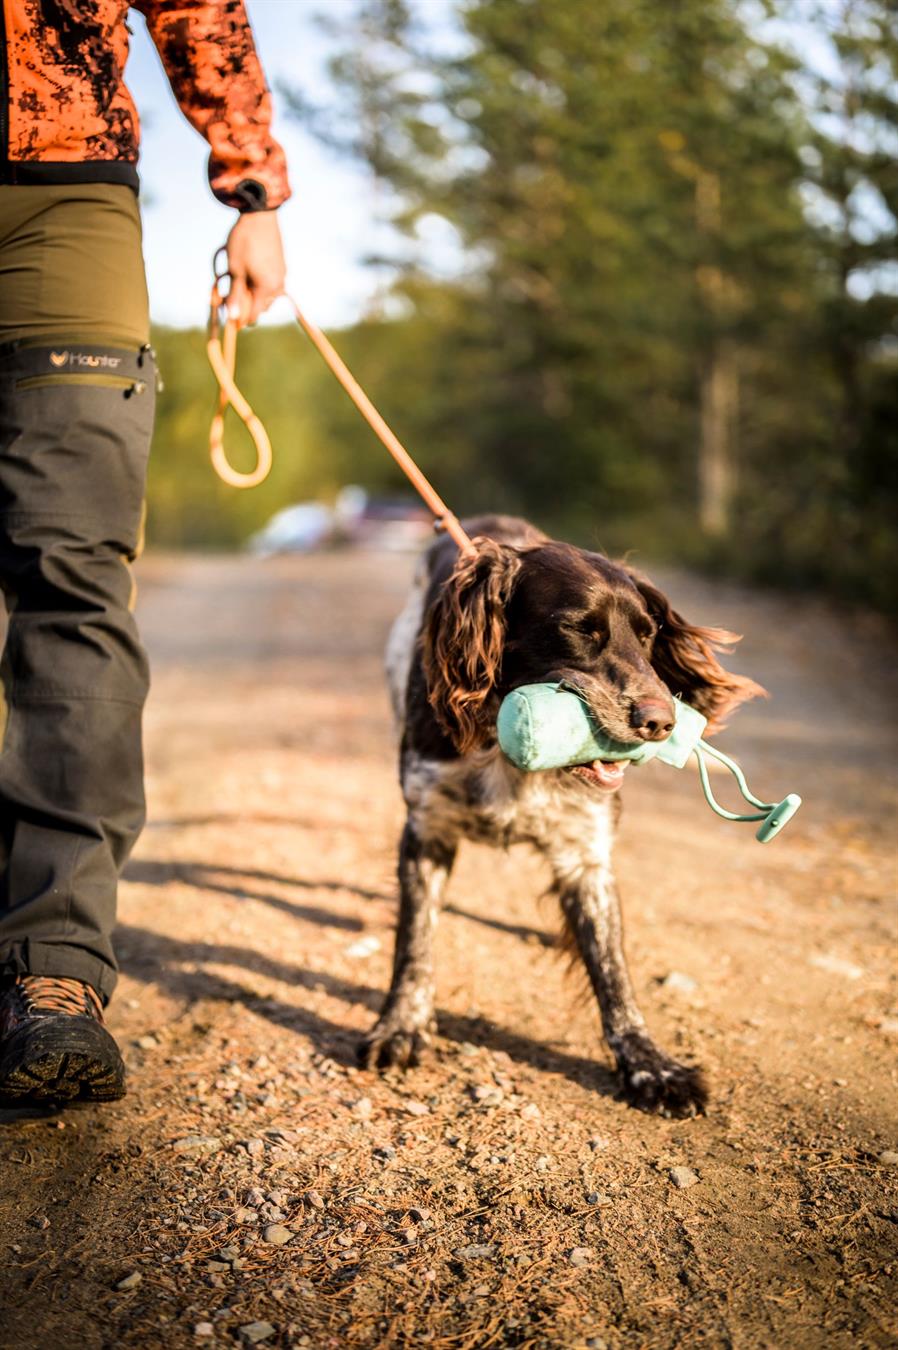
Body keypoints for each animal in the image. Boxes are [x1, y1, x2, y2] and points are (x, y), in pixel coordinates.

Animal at [360, 515, 763, 1117]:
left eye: (648, 633)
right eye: (579, 630)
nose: (661, 722)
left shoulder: (586, 856)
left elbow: (614, 974)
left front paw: (650, 1066)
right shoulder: (425, 832)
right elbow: (414, 944)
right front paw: (401, 1027)